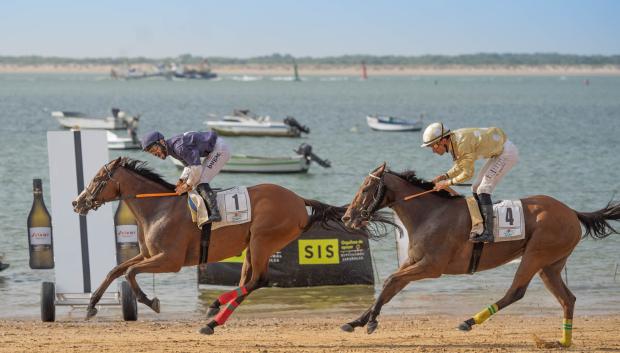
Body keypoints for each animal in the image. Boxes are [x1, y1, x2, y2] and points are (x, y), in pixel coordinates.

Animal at [72, 157, 388, 332]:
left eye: (98, 179)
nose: (77, 202)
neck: (159, 207)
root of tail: (299, 200)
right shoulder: (147, 254)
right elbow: (115, 270)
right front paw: (91, 306)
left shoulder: (170, 260)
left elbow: (129, 273)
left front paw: (151, 301)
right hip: (252, 247)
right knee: (248, 281)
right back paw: (213, 317)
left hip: (262, 241)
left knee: (259, 280)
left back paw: (214, 311)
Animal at [340, 162, 620, 346]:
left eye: (365, 189)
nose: (347, 217)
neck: (430, 213)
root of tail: (572, 212)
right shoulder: (414, 262)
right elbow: (390, 288)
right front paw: (356, 321)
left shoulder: (431, 267)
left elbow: (390, 281)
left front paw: (371, 323)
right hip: (550, 266)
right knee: (567, 299)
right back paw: (562, 341)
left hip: (535, 255)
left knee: (516, 292)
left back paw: (469, 321)